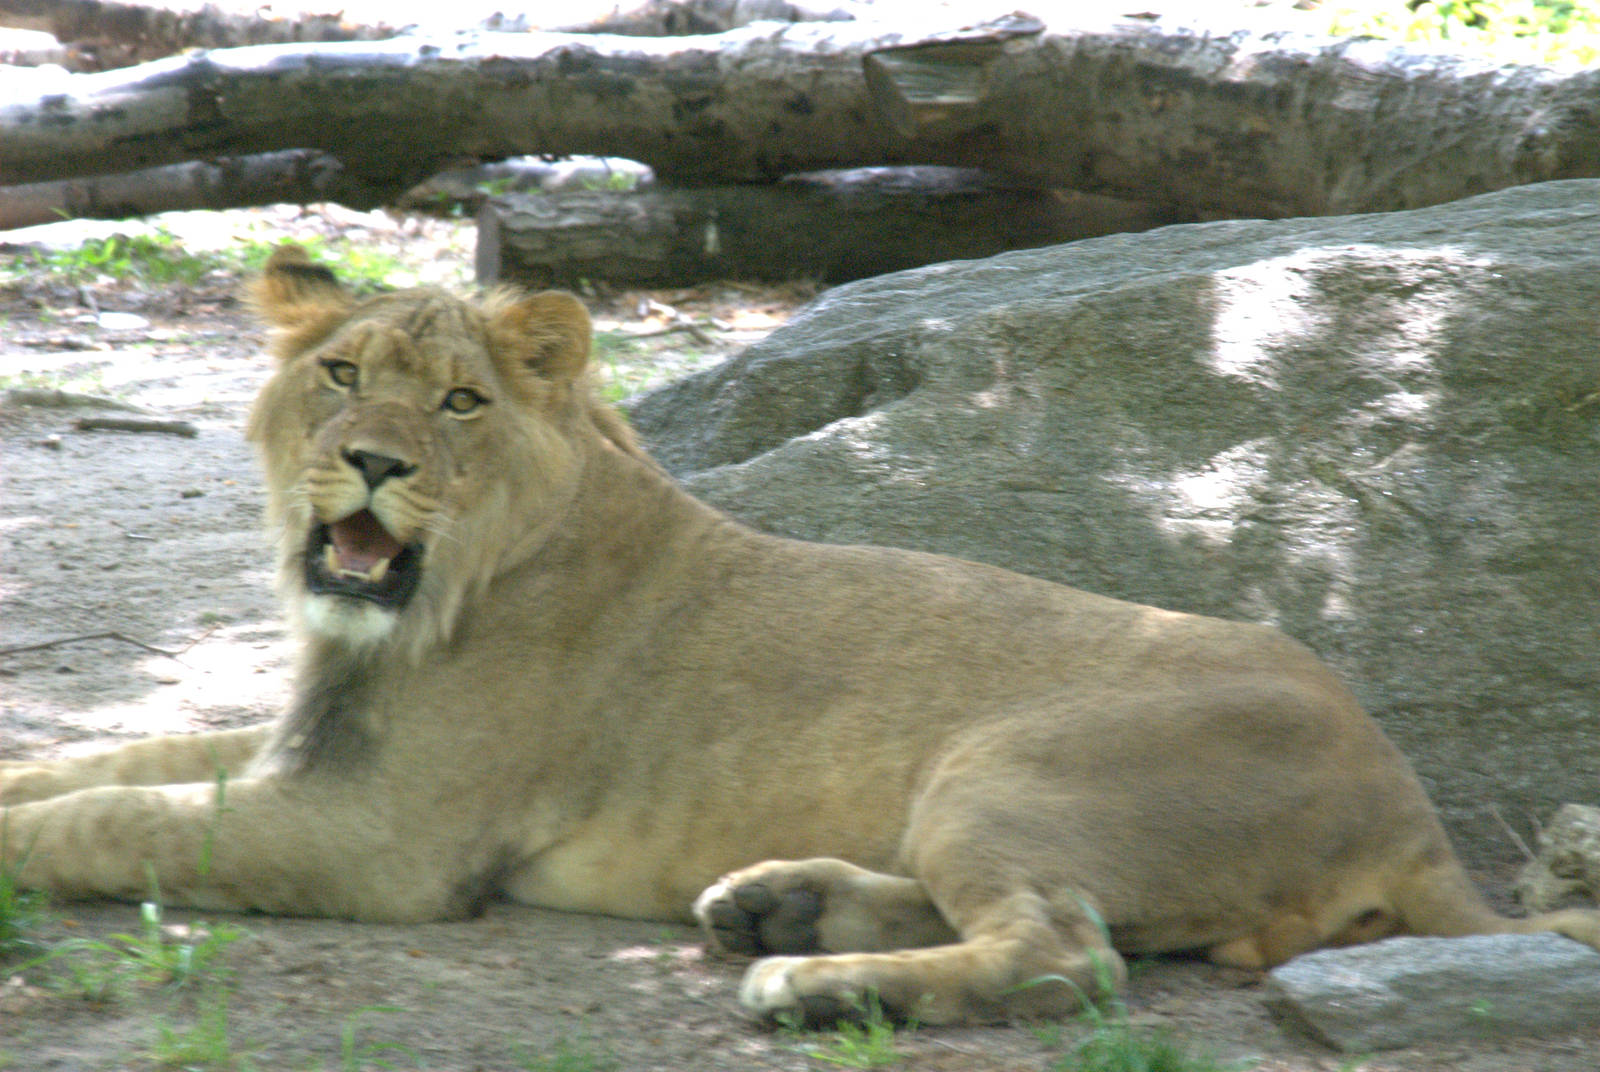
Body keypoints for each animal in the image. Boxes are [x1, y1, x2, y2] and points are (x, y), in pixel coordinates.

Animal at [3, 246, 1597, 1027]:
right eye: (340, 374)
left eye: (456, 401)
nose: (375, 465)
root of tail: (1407, 804)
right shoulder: (308, 743)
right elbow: (106, 760)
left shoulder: (381, 836)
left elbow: (118, 821)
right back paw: (777, 906)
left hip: (1003, 760)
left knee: (1066, 956)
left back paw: (808, 983)